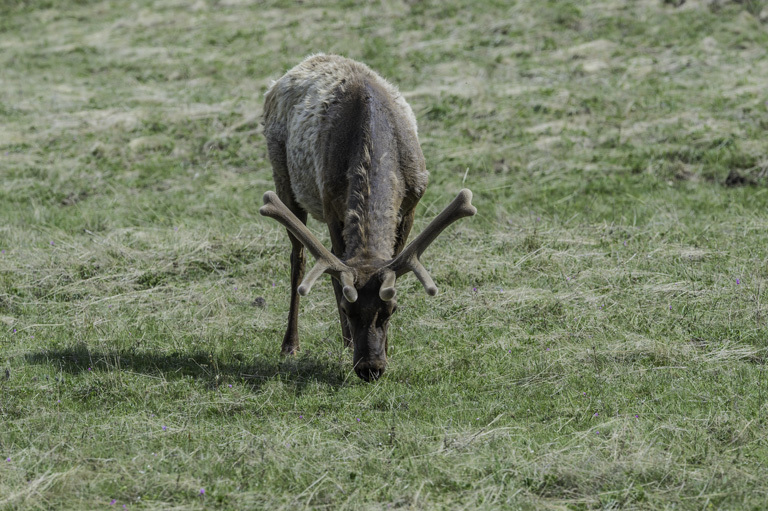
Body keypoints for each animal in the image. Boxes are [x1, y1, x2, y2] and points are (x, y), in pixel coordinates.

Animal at [260, 57, 474, 384]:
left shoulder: (412, 203)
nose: (370, 368)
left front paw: (389, 347)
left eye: (391, 310)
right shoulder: (331, 204)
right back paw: (292, 344)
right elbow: (338, 270)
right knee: (299, 257)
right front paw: (348, 340)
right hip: (283, 176)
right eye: (348, 310)